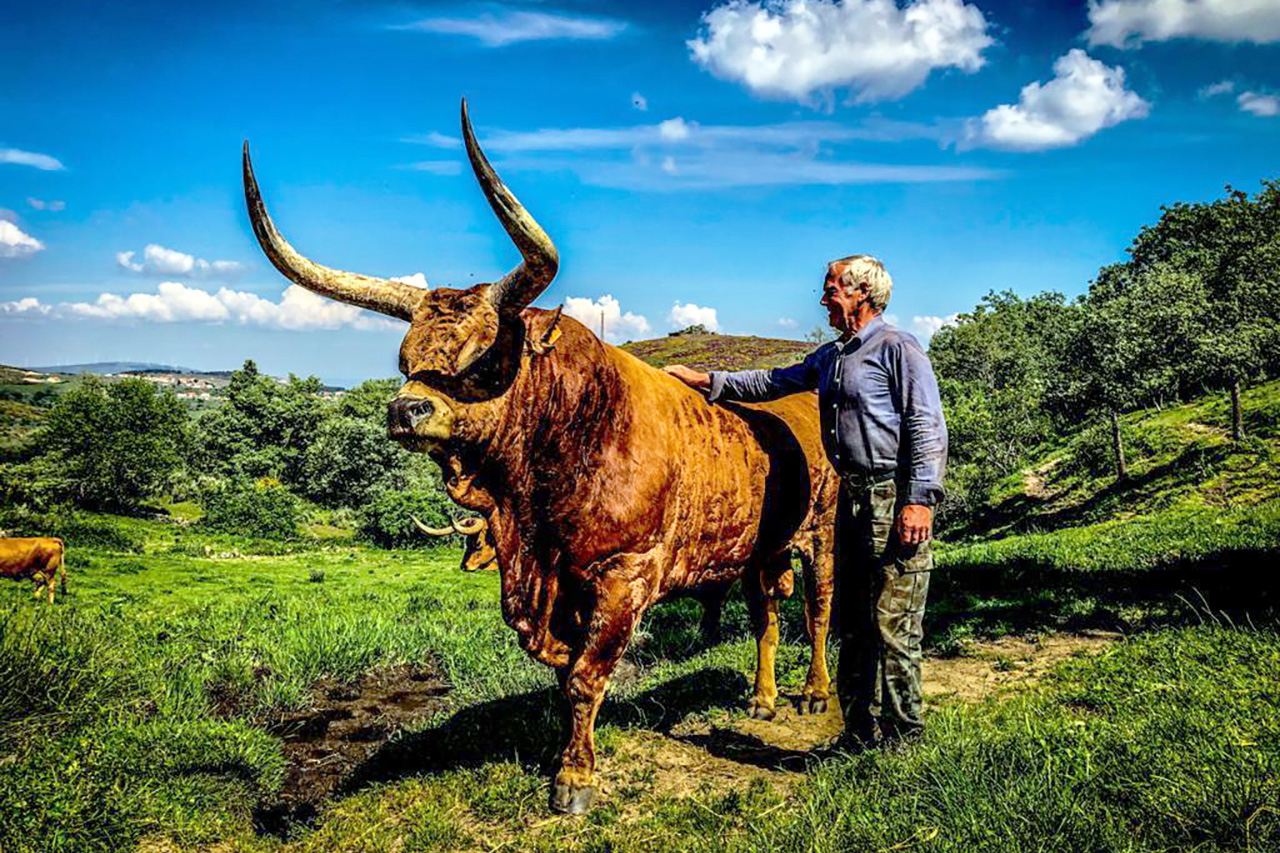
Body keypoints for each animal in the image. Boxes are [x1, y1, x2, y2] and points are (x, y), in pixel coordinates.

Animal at [240, 103, 839, 814]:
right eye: (404, 357)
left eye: (483, 358)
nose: (405, 411)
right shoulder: (561, 584)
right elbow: (566, 675)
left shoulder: (622, 574)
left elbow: (585, 676)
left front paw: (574, 779)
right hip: (758, 549)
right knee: (766, 616)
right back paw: (763, 698)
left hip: (825, 534)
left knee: (818, 610)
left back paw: (815, 693)